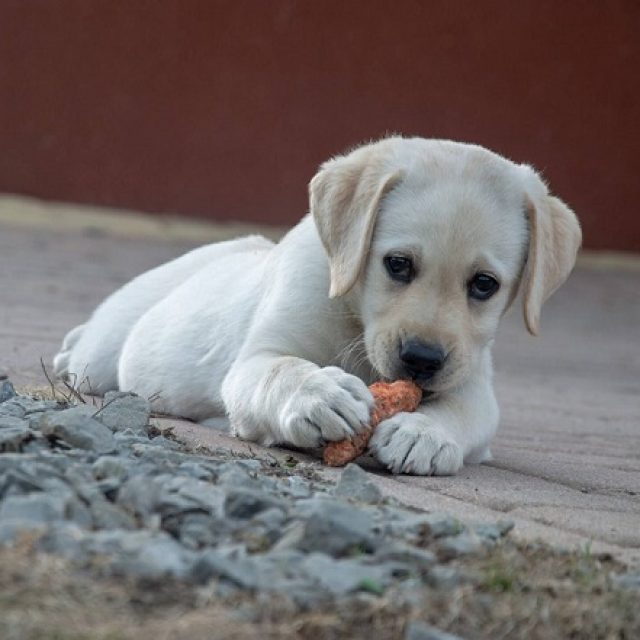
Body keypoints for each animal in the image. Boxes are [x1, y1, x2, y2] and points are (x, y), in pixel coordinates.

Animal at [53, 137, 581, 475]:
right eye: (397, 264)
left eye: (484, 285)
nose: (422, 360)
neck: (354, 318)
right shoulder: (256, 359)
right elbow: (281, 369)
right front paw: (319, 394)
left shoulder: (473, 381)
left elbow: (463, 411)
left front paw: (424, 433)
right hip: (104, 353)